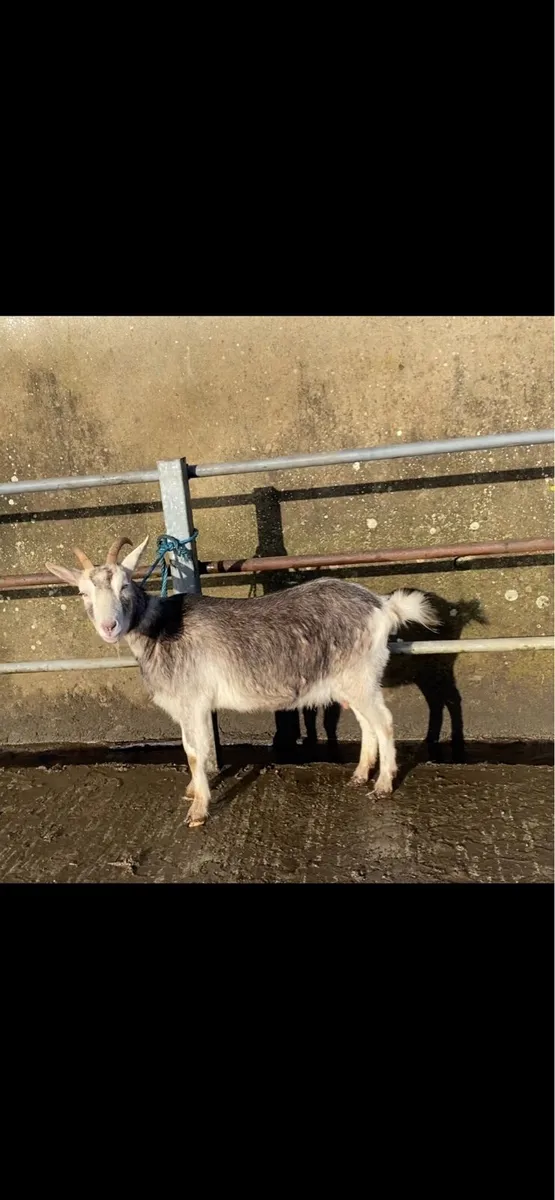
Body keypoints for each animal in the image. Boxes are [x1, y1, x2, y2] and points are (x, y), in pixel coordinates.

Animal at [46, 536, 438, 827]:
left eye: (124, 585)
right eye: (82, 592)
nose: (109, 626)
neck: (160, 629)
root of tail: (383, 606)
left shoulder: (193, 700)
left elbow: (194, 752)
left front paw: (198, 811)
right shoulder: (191, 704)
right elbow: (196, 748)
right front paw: (194, 792)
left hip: (359, 674)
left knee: (384, 722)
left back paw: (383, 785)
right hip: (351, 678)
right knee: (366, 721)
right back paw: (360, 774)